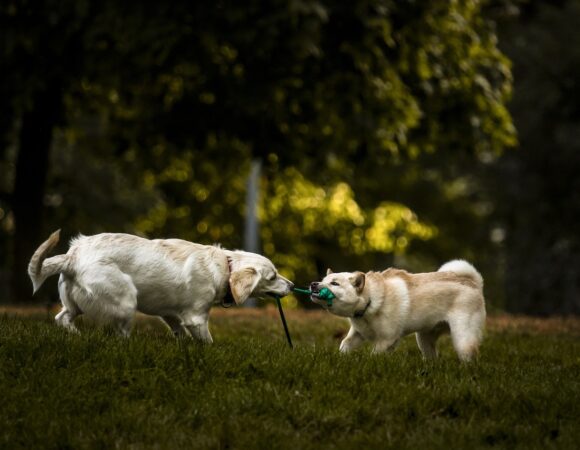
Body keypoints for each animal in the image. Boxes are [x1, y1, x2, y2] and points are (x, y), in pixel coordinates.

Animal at [27, 230, 292, 340]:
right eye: (272, 276)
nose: (291, 285)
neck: (225, 267)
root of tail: (72, 256)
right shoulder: (196, 318)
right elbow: (207, 341)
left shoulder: (172, 315)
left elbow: (179, 334)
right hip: (126, 300)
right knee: (120, 334)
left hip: (74, 304)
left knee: (61, 318)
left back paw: (75, 335)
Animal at [310, 258, 488, 360]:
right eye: (323, 280)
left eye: (334, 283)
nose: (313, 284)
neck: (370, 301)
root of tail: (473, 283)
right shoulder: (357, 335)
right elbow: (345, 345)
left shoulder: (387, 340)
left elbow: (374, 356)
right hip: (424, 339)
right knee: (432, 358)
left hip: (462, 340)